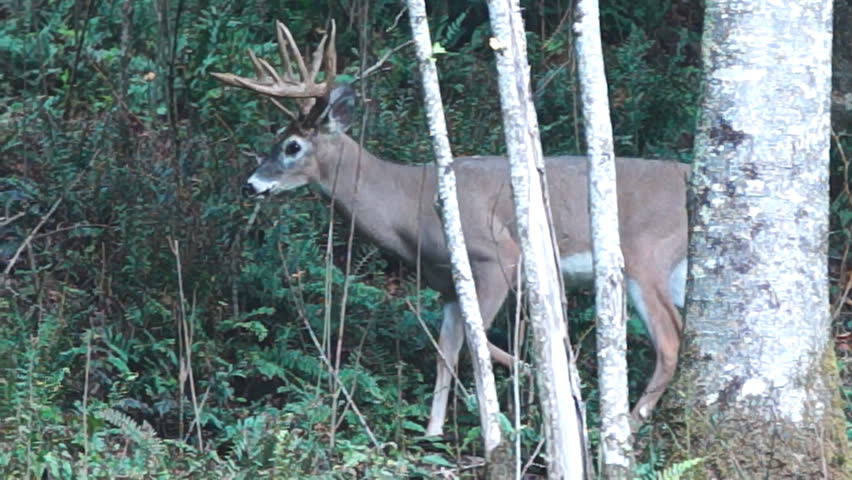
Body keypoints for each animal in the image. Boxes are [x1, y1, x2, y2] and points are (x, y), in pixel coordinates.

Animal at [216, 20, 688, 436]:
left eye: (292, 146)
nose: (250, 185)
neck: (411, 204)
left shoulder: (496, 257)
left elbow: (473, 344)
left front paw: (543, 381)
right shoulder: (444, 284)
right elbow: (447, 348)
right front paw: (433, 430)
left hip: (646, 256)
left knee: (670, 340)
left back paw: (628, 425)